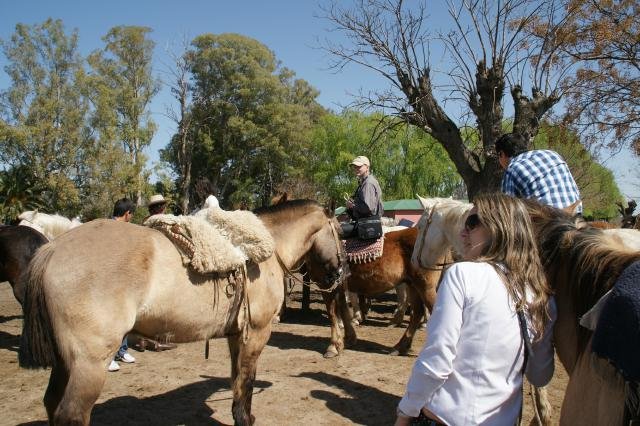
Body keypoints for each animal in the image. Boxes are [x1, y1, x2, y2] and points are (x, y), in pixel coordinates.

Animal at [20, 201, 348, 426]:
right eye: (340, 231)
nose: (340, 272)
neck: (267, 248)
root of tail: (51, 250)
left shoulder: (236, 335)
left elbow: (236, 380)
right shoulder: (256, 332)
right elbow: (247, 380)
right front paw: (245, 419)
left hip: (65, 362)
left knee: (51, 403)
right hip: (89, 364)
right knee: (71, 414)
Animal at [312, 228, 448, 358]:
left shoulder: (326, 284)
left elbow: (333, 312)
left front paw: (333, 347)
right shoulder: (336, 286)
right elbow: (342, 308)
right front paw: (348, 338)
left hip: (425, 287)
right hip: (413, 285)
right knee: (417, 312)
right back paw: (400, 347)